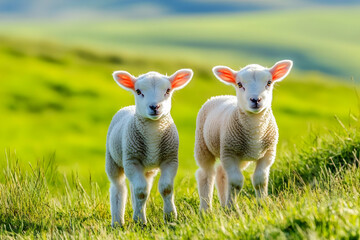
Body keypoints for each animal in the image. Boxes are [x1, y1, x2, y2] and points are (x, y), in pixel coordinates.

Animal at [105, 68, 193, 226]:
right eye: (138, 91)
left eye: (168, 90)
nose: (154, 107)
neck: (153, 130)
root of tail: (128, 107)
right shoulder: (131, 160)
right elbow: (141, 192)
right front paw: (140, 221)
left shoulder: (170, 159)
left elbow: (165, 188)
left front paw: (170, 217)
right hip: (113, 160)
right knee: (118, 187)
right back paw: (117, 221)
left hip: (148, 170)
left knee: (138, 187)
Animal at [194, 59, 292, 210]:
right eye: (239, 84)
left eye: (269, 82)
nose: (256, 100)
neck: (255, 130)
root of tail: (221, 96)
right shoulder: (229, 152)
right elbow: (236, 182)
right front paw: (232, 209)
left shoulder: (268, 153)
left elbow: (260, 180)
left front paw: (262, 204)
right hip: (203, 145)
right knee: (206, 174)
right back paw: (206, 209)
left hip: (240, 157)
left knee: (221, 173)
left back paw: (223, 205)